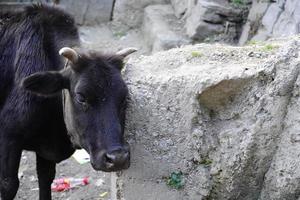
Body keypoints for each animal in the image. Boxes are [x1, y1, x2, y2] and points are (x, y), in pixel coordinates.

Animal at [0, 4, 135, 200]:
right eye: (81, 96)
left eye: (125, 97)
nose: (117, 158)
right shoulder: (8, 138)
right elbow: (8, 185)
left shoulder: (46, 151)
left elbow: (45, 179)